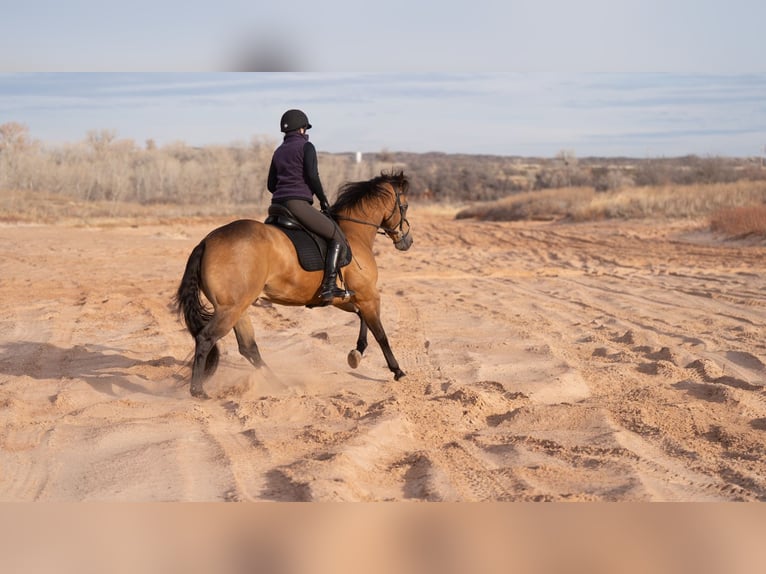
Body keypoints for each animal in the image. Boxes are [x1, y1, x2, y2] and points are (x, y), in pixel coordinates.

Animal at [176, 169, 414, 398]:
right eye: (405, 206)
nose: (407, 241)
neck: (355, 234)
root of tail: (206, 242)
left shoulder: (347, 297)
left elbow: (362, 319)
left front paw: (356, 353)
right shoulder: (368, 295)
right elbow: (380, 334)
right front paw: (397, 371)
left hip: (239, 308)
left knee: (248, 347)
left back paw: (280, 384)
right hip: (230, 309)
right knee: (206, 338)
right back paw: (198, 391)